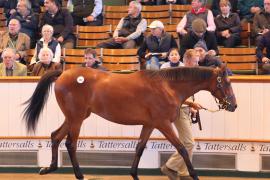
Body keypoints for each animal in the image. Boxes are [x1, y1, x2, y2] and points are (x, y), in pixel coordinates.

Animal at [24, 65, 237, 180]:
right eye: (225, 82)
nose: (233, 105)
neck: (167, 87)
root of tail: (62, 74)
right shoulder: (163, 124)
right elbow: (182, 149)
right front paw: (195, 175)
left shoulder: (150, 124)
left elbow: (140, 148)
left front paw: (134, 174)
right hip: (76, 118)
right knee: (70, 143)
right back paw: (79, 174)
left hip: (76, 116)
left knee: (55, 136)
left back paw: (49, 168)